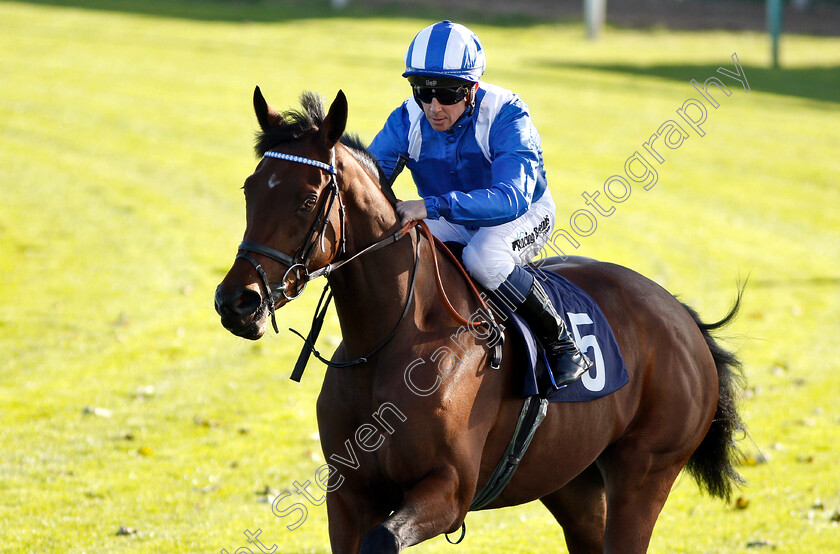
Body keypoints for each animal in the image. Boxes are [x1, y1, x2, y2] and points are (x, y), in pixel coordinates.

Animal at [213, 88, 744, 548]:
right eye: (250, 189)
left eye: (307, 199)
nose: (237, 301)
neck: (388, 343)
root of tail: (681, 316)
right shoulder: (348, 494)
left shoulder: (448, 491)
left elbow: (385, 538)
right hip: (572, 482)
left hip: (645, 472)